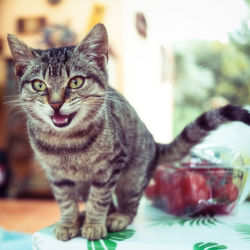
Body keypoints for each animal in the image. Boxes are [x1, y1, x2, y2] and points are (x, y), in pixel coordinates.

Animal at [6, 23, 250, 240]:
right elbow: (65, 201)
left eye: (75, 82)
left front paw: (94, 224)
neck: (67, 143)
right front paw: (69, 223)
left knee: (128, 206)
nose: (56, 104)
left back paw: (117, 217)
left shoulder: (111, 166)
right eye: (39, 85)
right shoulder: (56, 175)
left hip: (131, 178)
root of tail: (155, 144)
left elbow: (99, 199)